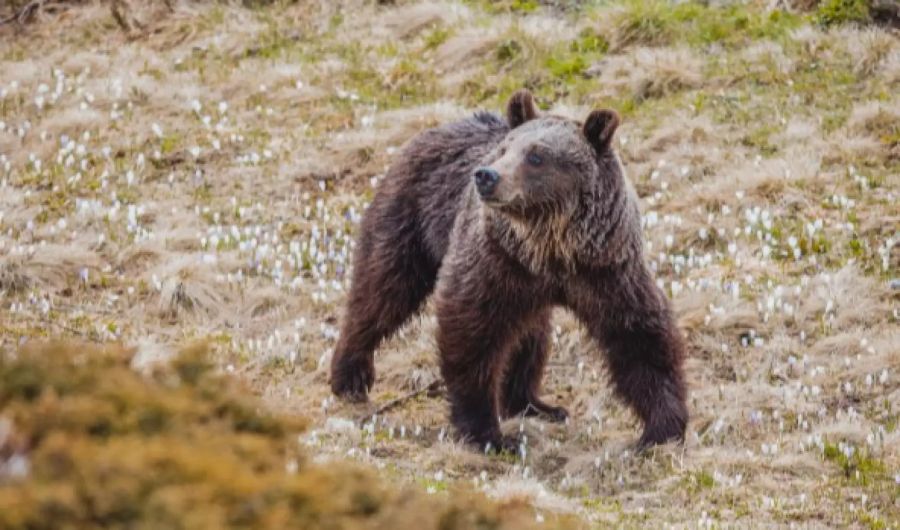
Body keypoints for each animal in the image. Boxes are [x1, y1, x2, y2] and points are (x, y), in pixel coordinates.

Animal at [330, 87, 688, 450]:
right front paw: (487, 433)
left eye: (536, 156)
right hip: (410, 218)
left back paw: (535, 404)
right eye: (504, 149)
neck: (550, 250)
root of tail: (436, 128)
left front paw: (662, 426)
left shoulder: (606, 269)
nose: (486, 175)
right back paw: (350, 376)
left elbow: (639, 337)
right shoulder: (495, 262)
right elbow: (470, 330)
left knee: (529, 335)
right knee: (383, 289)